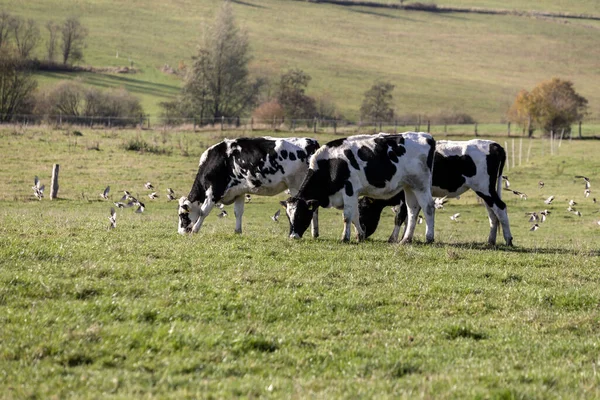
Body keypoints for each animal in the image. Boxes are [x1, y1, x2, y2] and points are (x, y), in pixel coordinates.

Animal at [177, 136, 322, 236]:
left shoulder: (214, 191)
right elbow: (238, 212)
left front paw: (195, 230)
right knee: (314, 208)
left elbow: (203, 211)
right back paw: (314, 233)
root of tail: (312, 142)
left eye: (182, 215)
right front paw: (237, 231)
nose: (180, 232)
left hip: (297, 186)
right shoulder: (239, 192)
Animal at [278, 133, 434, 242]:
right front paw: (360, 235)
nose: (293, 236)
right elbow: (355, 216)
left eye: (300, 214)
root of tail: (427, 137)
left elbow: (347, 216)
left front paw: (345, 238)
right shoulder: (352, 195)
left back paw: (429, 238)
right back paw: (406, 239)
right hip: (409, 187)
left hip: (421, 185)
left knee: (428, 207)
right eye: (288, 216)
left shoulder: (349, 190)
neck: (330, 165)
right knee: (412, 210)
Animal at [358, 141, 512, 247]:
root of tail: (494, 145)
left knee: (500, 208)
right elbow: (411, 216)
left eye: (362, 210)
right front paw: (405, 237)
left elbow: (400, 217)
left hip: (485, 189)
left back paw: (508, 239)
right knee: (492, 213)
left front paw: (393, 238)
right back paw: (491, 241)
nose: (360, 236)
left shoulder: (402, 195)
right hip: (486, 191)